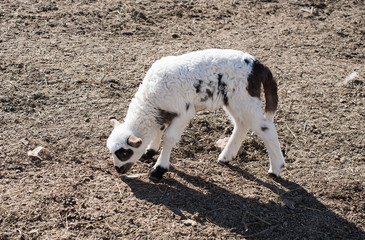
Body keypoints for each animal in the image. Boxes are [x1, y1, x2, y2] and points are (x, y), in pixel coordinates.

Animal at [105, 48, 284, 181]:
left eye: (124, 153)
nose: (118, 169)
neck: (151, 99)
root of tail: (259, 66)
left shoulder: (184, 111)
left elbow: (169, 136)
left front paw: (158, 169)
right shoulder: (164, 111)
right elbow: (160, 128)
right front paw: (150, 152)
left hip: (245, 98)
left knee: (266, 128)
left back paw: (276, 168)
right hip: (234, 100)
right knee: (242, 124)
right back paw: (226, 157)